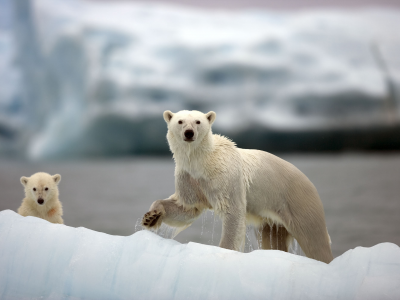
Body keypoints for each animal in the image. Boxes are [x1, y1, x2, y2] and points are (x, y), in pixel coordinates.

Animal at [142, 109, 332, 262]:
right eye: (180, 121)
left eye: (198, 121)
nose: (189, 133)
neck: (202, 162)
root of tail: (308, 180)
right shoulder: (189, 178)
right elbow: (187, 208)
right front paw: (151, 217)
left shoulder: (225, 176)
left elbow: (232, 211)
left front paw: (223, 250)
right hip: (273, 218)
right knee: (273, 239)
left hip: (298, 201)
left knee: (314, 239)